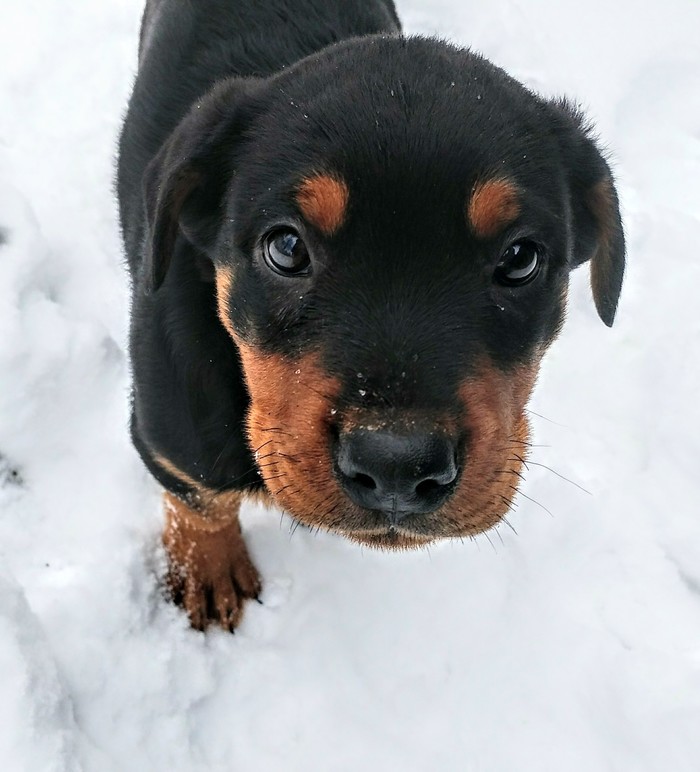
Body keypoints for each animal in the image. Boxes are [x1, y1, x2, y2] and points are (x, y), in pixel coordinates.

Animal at [117, 0, 628, 632]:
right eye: (286, 247)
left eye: (520, 258)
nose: (398, 468)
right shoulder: (169, 433)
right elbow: (200, 501)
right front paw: (208, 573)